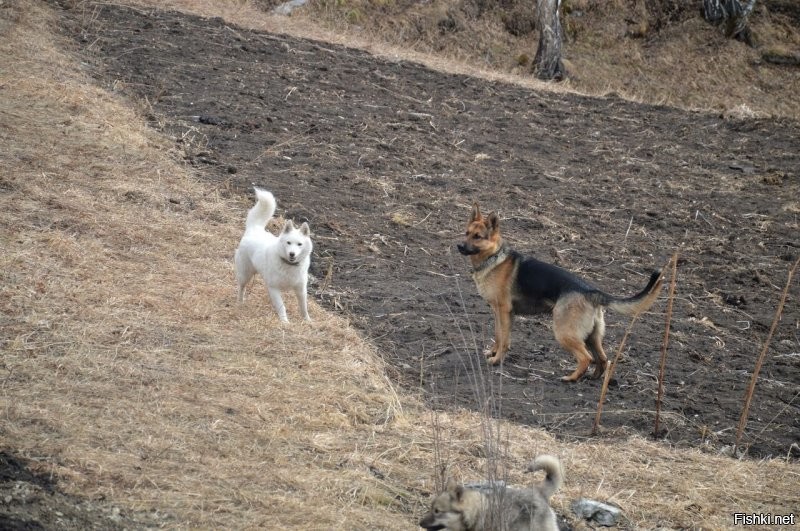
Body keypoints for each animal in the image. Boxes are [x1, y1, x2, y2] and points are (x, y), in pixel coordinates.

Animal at [234, 189, 312, 322]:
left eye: (299, 244)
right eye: (288, 243)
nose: (292, 254)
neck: (288, 265)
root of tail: (254, 229)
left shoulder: (301, 290)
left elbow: (304, 308)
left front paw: (307, 321)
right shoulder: (274, 288)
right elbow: (282, 307)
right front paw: (285, 322)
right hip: (245, 274)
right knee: (242, 287)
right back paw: (240, 301)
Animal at [456, 204, 664, 382]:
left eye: (478, 236)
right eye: (466, 233)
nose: (459, 246)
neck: (493, 257)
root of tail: (591, 291)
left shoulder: (503, 311)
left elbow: (504, 340)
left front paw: (496, 360)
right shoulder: (499, 313)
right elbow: (498, 336)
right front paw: (492, 353)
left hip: (564, 333)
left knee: (586, 358)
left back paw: (571, 378)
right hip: (592, 336)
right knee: (603, 359)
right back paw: (593, 377)